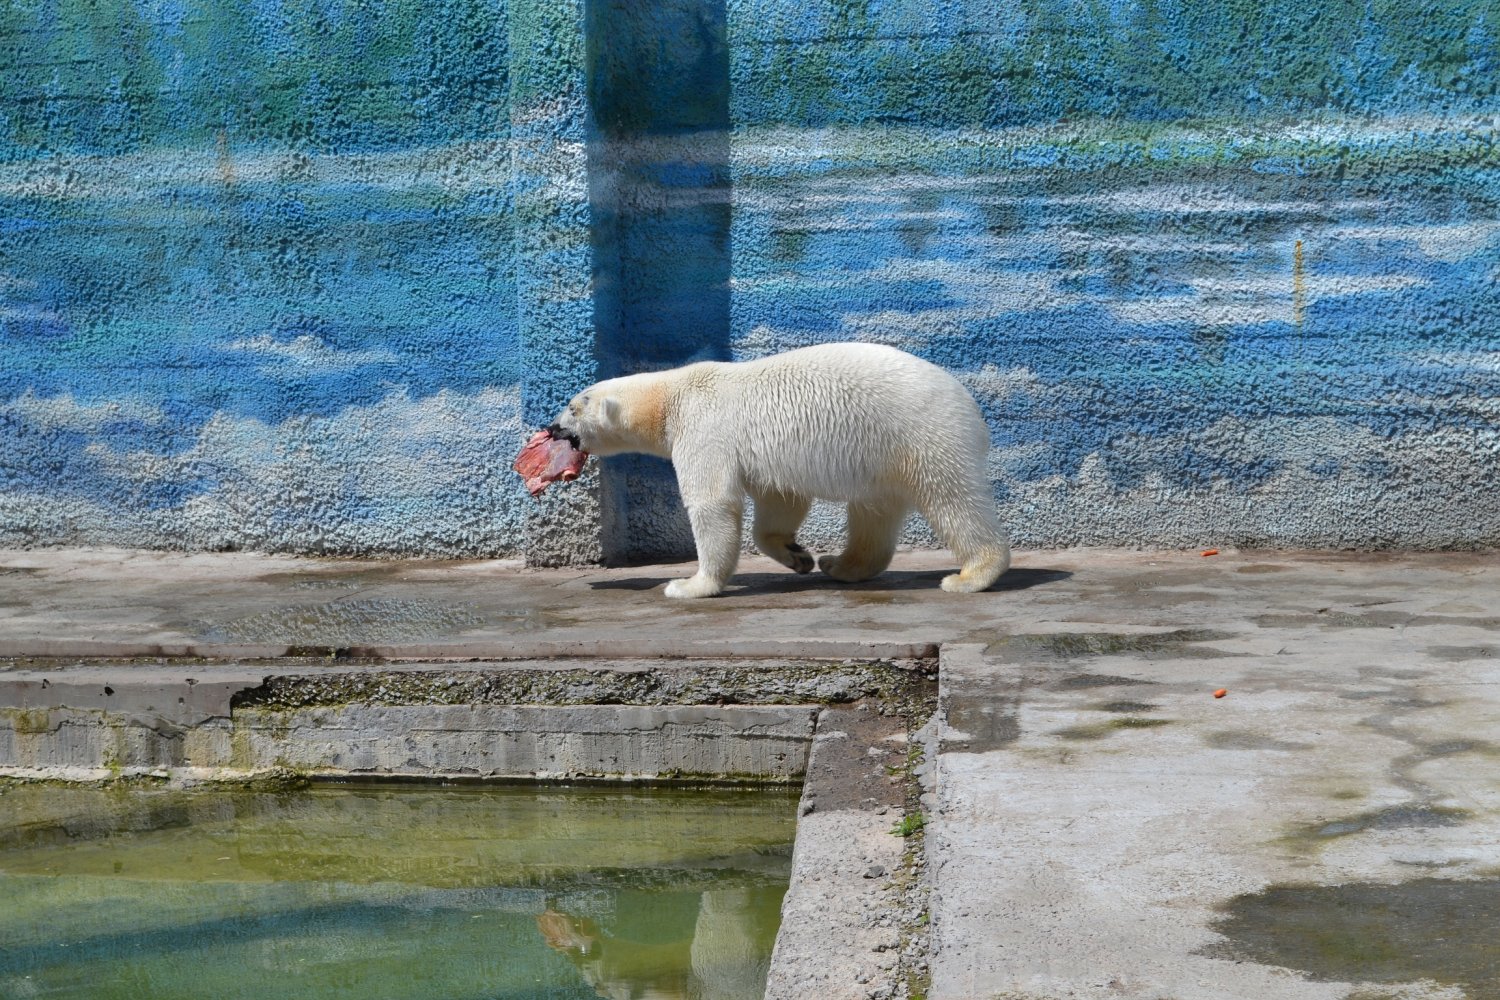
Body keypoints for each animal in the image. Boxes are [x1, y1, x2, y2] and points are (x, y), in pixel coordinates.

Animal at [549, 344, 1008, 599]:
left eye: (572, 406)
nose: (552, 428)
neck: (668, 396)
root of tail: (970, 404)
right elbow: (780, 501)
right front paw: (797, 555)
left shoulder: (704, 427)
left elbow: (713, 502)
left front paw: (690, 585)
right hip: (882, 455)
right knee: (874, 511)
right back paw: (840, 565)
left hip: (921, 434)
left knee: (953, 499)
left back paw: (971, 575)